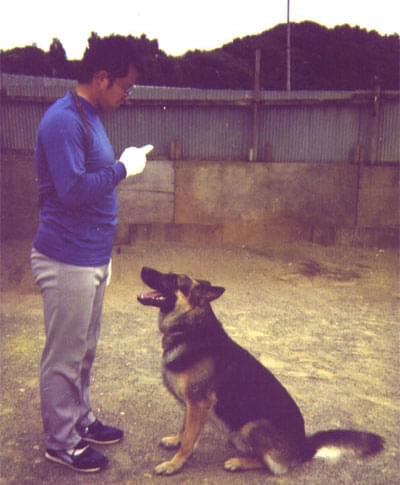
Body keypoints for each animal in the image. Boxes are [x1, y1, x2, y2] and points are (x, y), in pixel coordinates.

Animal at [138, 266, 384, 474]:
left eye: (173, 279)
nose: (144, 268)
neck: (190, 329)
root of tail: (304, 448)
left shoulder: (198, 404)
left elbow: (189, 439)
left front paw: (174, 464)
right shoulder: (190, 405)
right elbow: (184, 428)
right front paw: (175, 441)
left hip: (252, 427)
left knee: (271, 466)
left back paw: (239, 463)